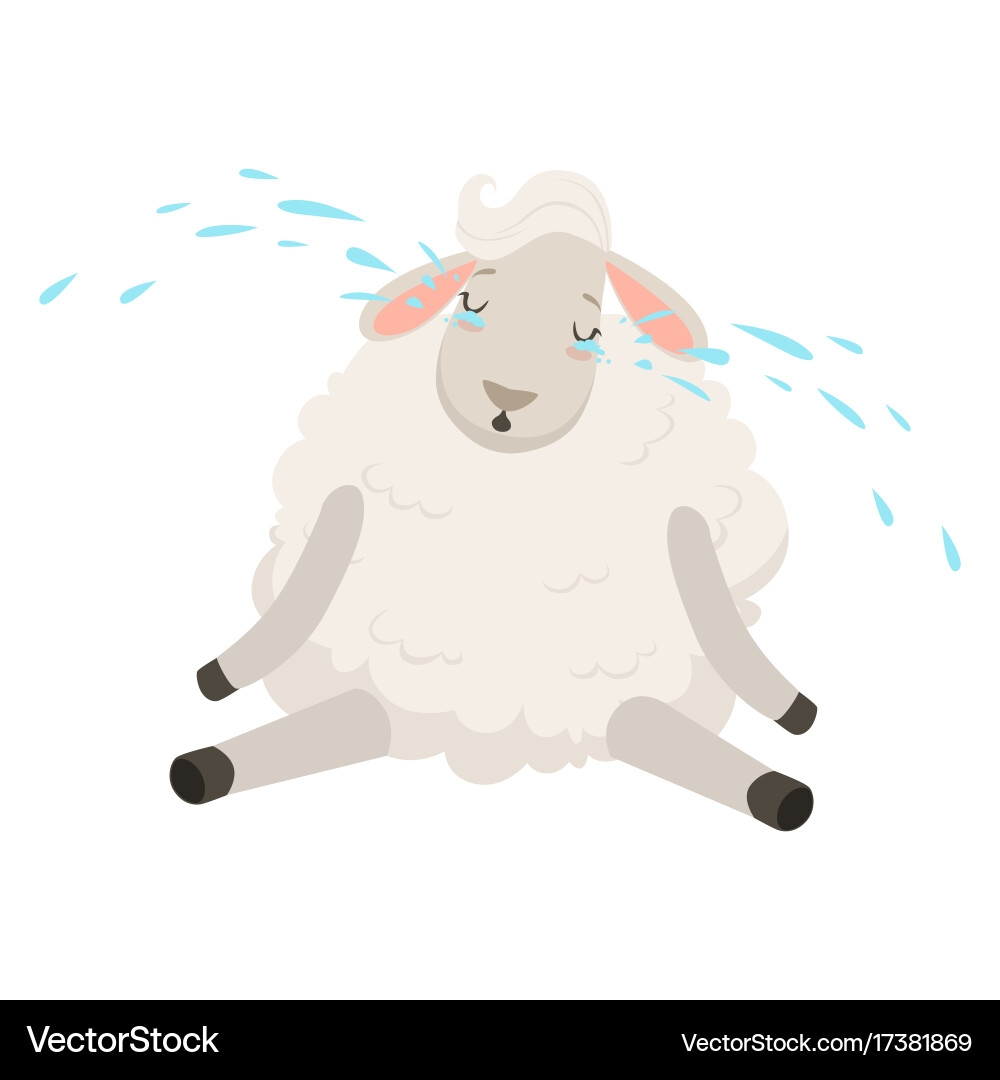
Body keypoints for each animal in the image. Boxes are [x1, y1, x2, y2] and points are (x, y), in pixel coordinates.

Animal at [170, 172, 818, 831]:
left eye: (588, 334)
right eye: (470, 304)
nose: (507, 397)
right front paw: (212, 685)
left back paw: (783, 793)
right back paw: (201, 768)